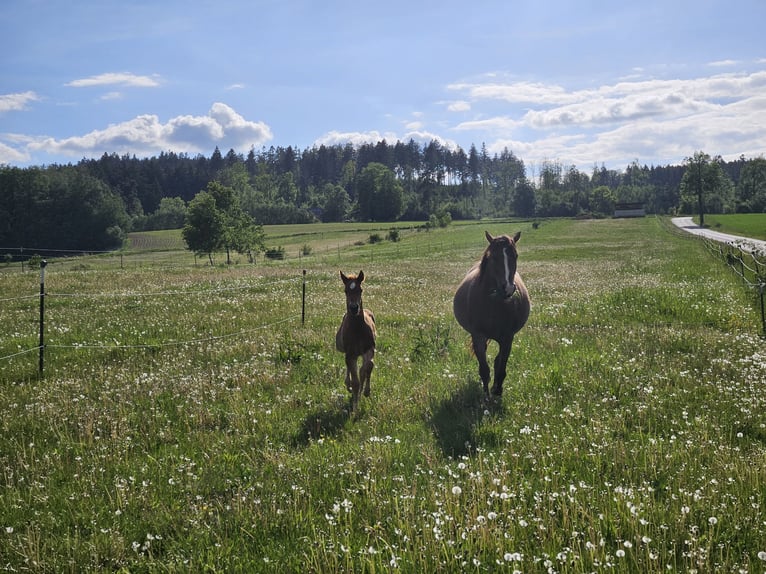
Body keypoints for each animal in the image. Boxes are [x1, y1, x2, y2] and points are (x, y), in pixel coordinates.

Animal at [335, 270, 377, 410]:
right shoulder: (350, 354)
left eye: (360, 289)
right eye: (345, 290)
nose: (354, 308)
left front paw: (366, 392)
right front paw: (355, 406)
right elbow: (355, 381)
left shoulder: (369, 349)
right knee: (350, 370)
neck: (358, 330)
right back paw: (349, 386)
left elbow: (367, 368)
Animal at [453, 231, 530, 397]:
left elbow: (501, 368)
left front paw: (497, 390)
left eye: (515, 255)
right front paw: (486, 396)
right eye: (493, 257)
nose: (508, 288)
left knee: (497, 362)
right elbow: (484, 370)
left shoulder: (507, 339)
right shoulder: (478, 337)